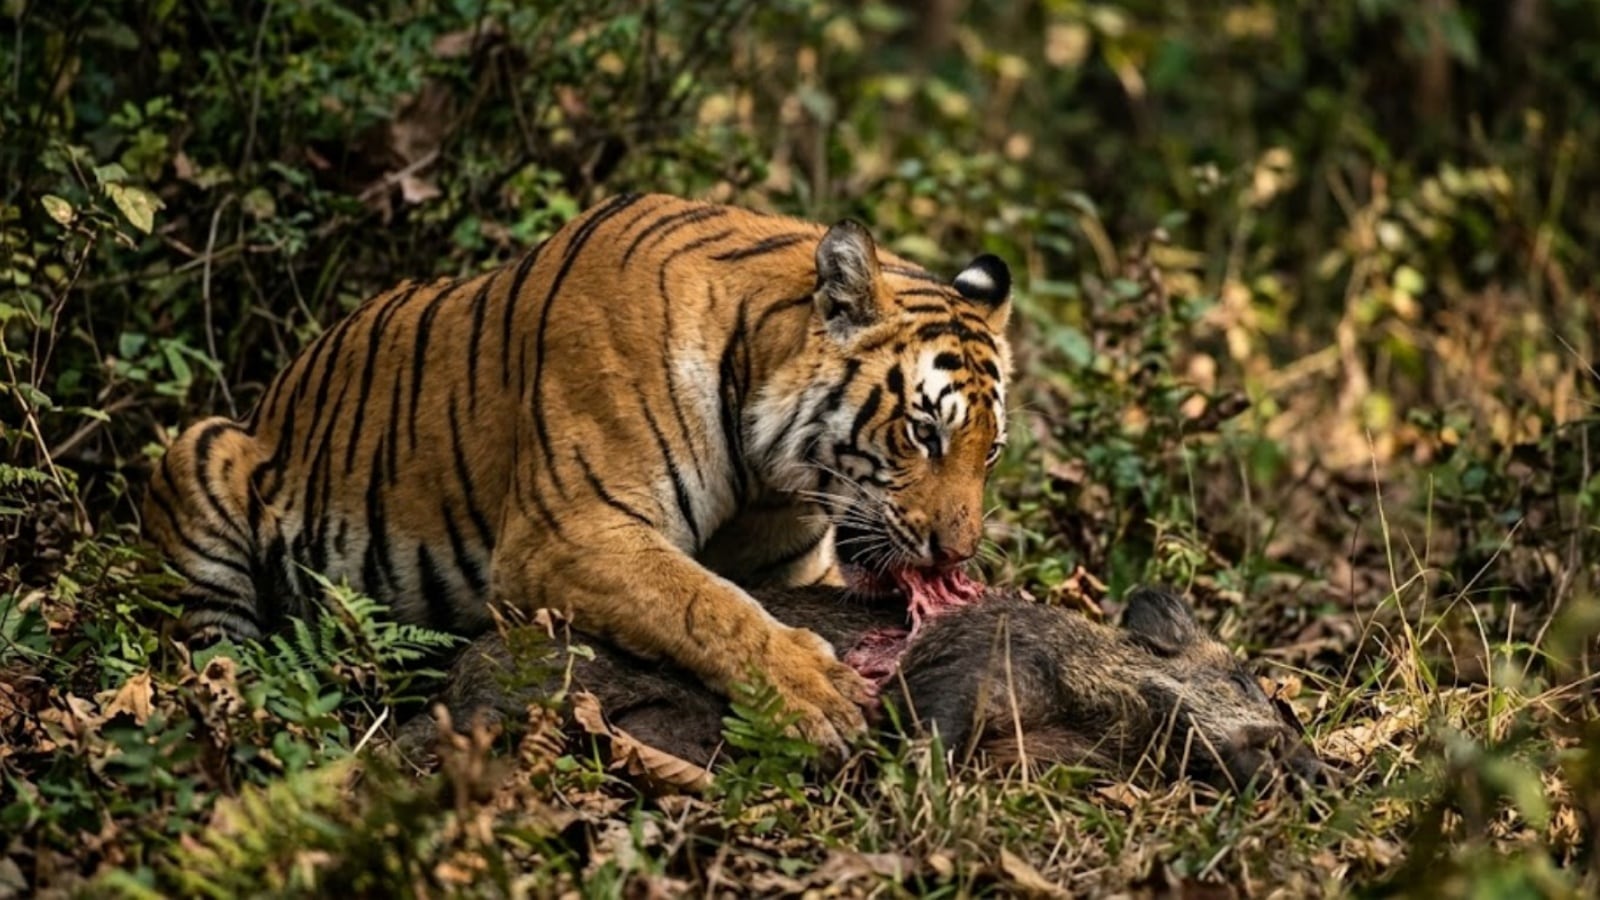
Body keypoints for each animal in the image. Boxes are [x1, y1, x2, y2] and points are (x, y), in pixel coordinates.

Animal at [143, 193, 1013, 750]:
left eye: (992, 452)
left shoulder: (787, 563)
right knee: (215, 653)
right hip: (202, 450)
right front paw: (812, 690)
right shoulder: (568, 532)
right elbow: (700, 603)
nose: (959, 556)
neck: (766, 474)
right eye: (924, 432)